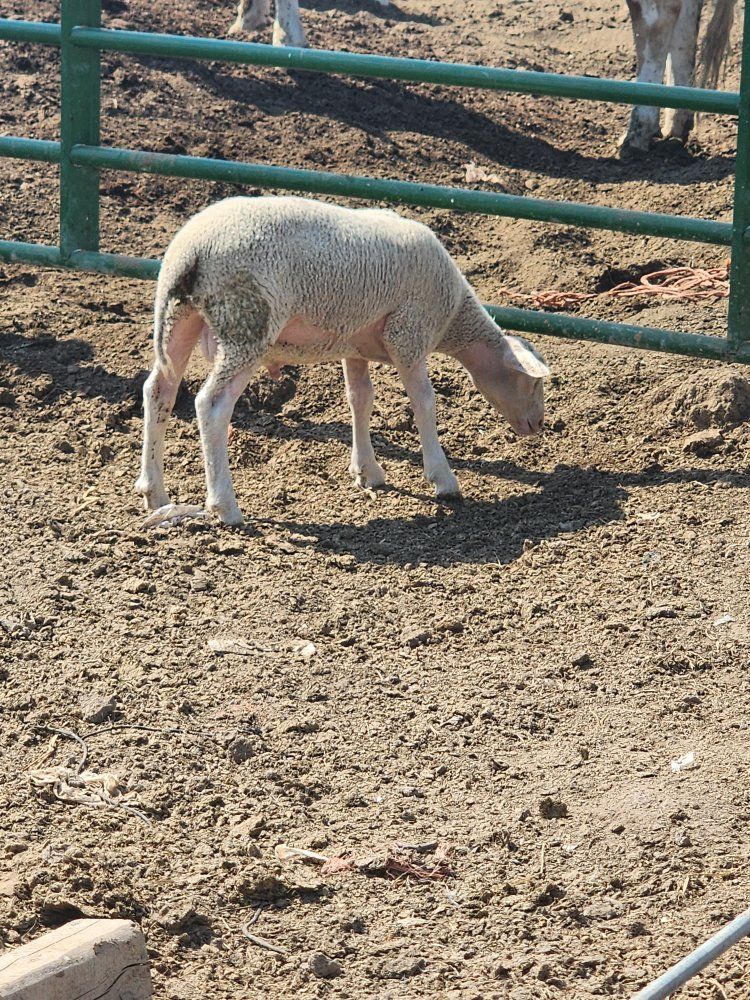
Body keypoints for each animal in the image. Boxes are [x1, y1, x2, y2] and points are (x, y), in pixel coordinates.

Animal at [135, 196, 550, 527]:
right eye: (532, 382)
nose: (538, 426)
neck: (453, 317)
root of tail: (193, 250)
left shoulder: (355, 343)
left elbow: (360, 399)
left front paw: (368, 471)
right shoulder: (408, 333)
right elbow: (424, 403)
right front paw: (443, 479)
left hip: (178, 318)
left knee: (159, 391)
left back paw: (156, 493)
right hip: (248, 322)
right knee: (213, 405)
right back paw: (225, 505)